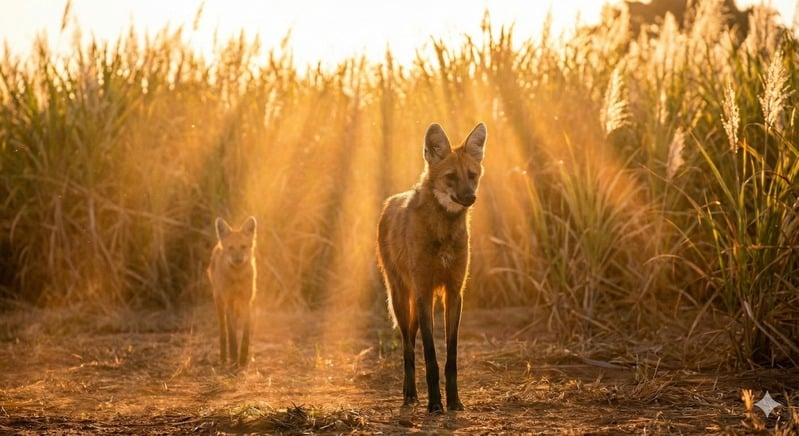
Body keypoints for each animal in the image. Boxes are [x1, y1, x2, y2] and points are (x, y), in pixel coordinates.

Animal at [377, 122, 487, 413]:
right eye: (451, 177)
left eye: (472, 175)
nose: (470, 197)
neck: (444, 233)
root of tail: (390, 201)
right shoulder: (424, 291)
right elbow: (430, 356)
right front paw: (436, 404)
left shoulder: (453, 292)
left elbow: (451, 357)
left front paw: (455, 402)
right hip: (402, 298)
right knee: (407, 347)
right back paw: (410, 396)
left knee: (410, 342)